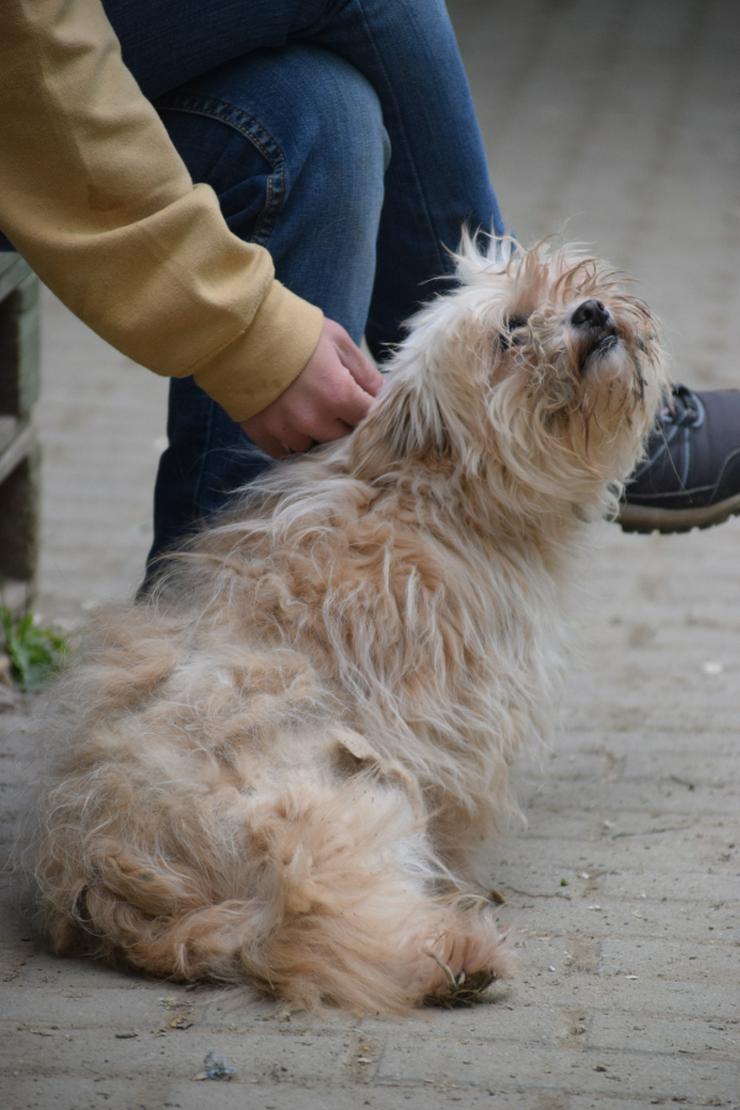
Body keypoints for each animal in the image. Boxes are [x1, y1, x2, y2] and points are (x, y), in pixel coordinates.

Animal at [26, 236, 670, 1016]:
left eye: (566, 285)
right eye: (510, 331)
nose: (592, 311)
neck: (440, 492)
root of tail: (100, 875)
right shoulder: (457, 715)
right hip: (339, 804)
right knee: (313, 922)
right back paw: (449, 957)